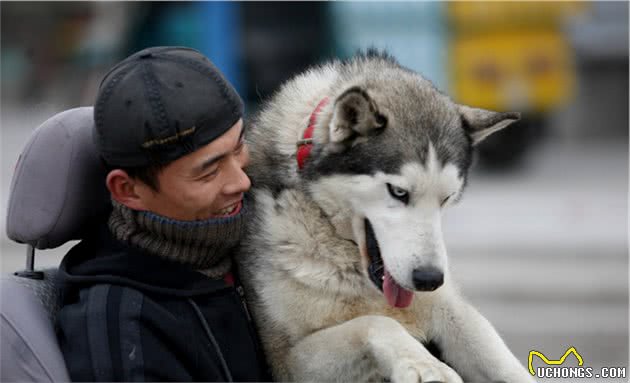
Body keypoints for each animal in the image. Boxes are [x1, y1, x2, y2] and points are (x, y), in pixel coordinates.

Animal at [239, 51, 536, 383]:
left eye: (447, 198)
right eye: (398, 192)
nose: (429, 279)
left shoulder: (450, 309)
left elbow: (498, 358)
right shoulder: (287, 361)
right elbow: (376, 322)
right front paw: (424, 365)